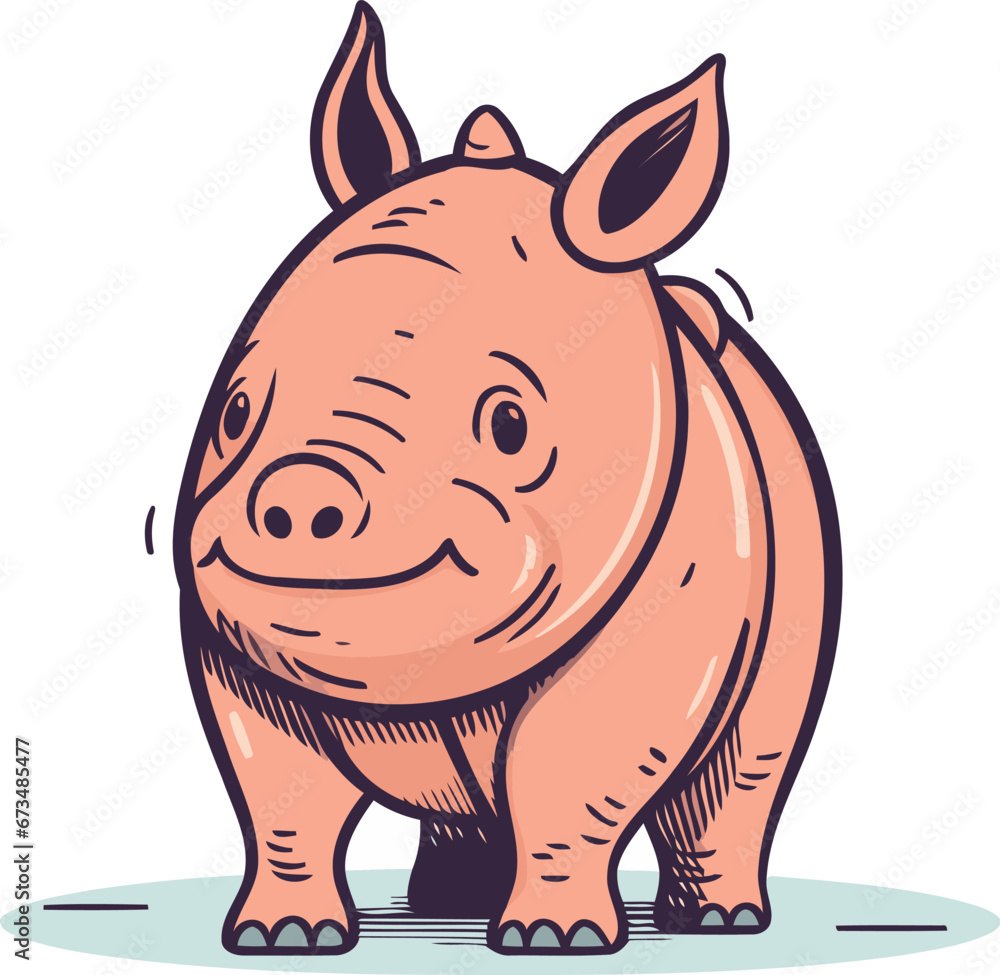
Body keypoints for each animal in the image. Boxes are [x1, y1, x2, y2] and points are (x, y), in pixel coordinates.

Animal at [173, 1, 840, 955]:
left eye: (510, 425)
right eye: (233, 413)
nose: (297, 499)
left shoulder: (662, 606)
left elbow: (570, 774)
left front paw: (555, 939)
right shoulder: (243, 652)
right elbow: (281, 793)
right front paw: (283, 935)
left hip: (796, 532)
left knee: (744, 760)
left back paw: (722, 919)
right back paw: (444, 902)